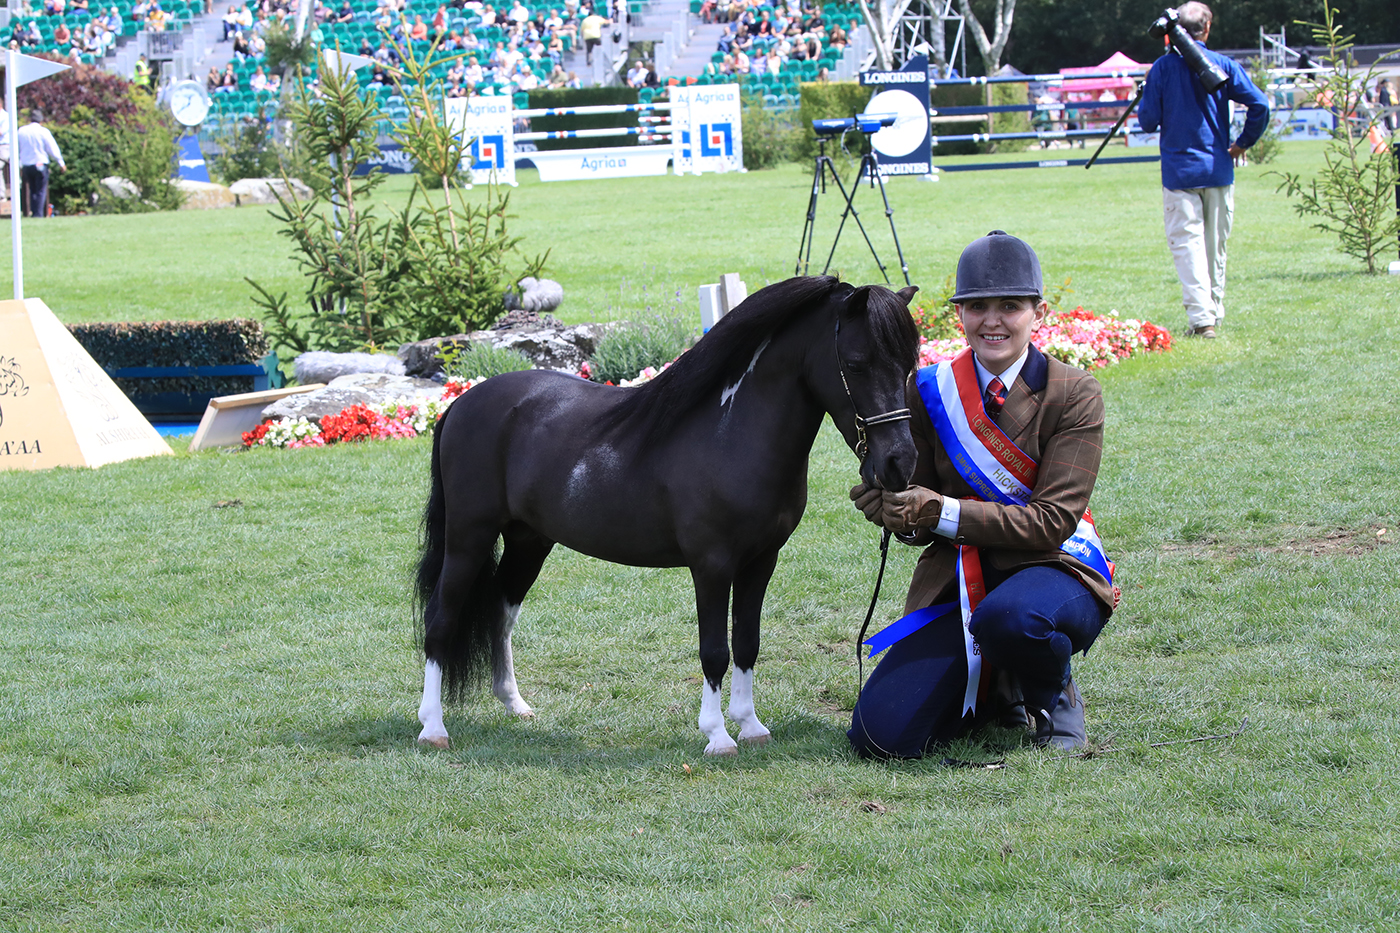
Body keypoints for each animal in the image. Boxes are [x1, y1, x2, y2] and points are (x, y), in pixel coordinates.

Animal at [414, 275, 921, 755]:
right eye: (856, 362)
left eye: (910, 363)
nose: (900, 463)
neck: (731, 434)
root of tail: (461, 403)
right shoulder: (712, 565)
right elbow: (714, 650)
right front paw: (717, 735)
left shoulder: (761, 561)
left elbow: (748, 642)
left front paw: (751, 726)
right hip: (469, 537)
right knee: (441, 618)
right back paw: (433, 728)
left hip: (529, 541)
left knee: (501, 613)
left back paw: (515, 703)